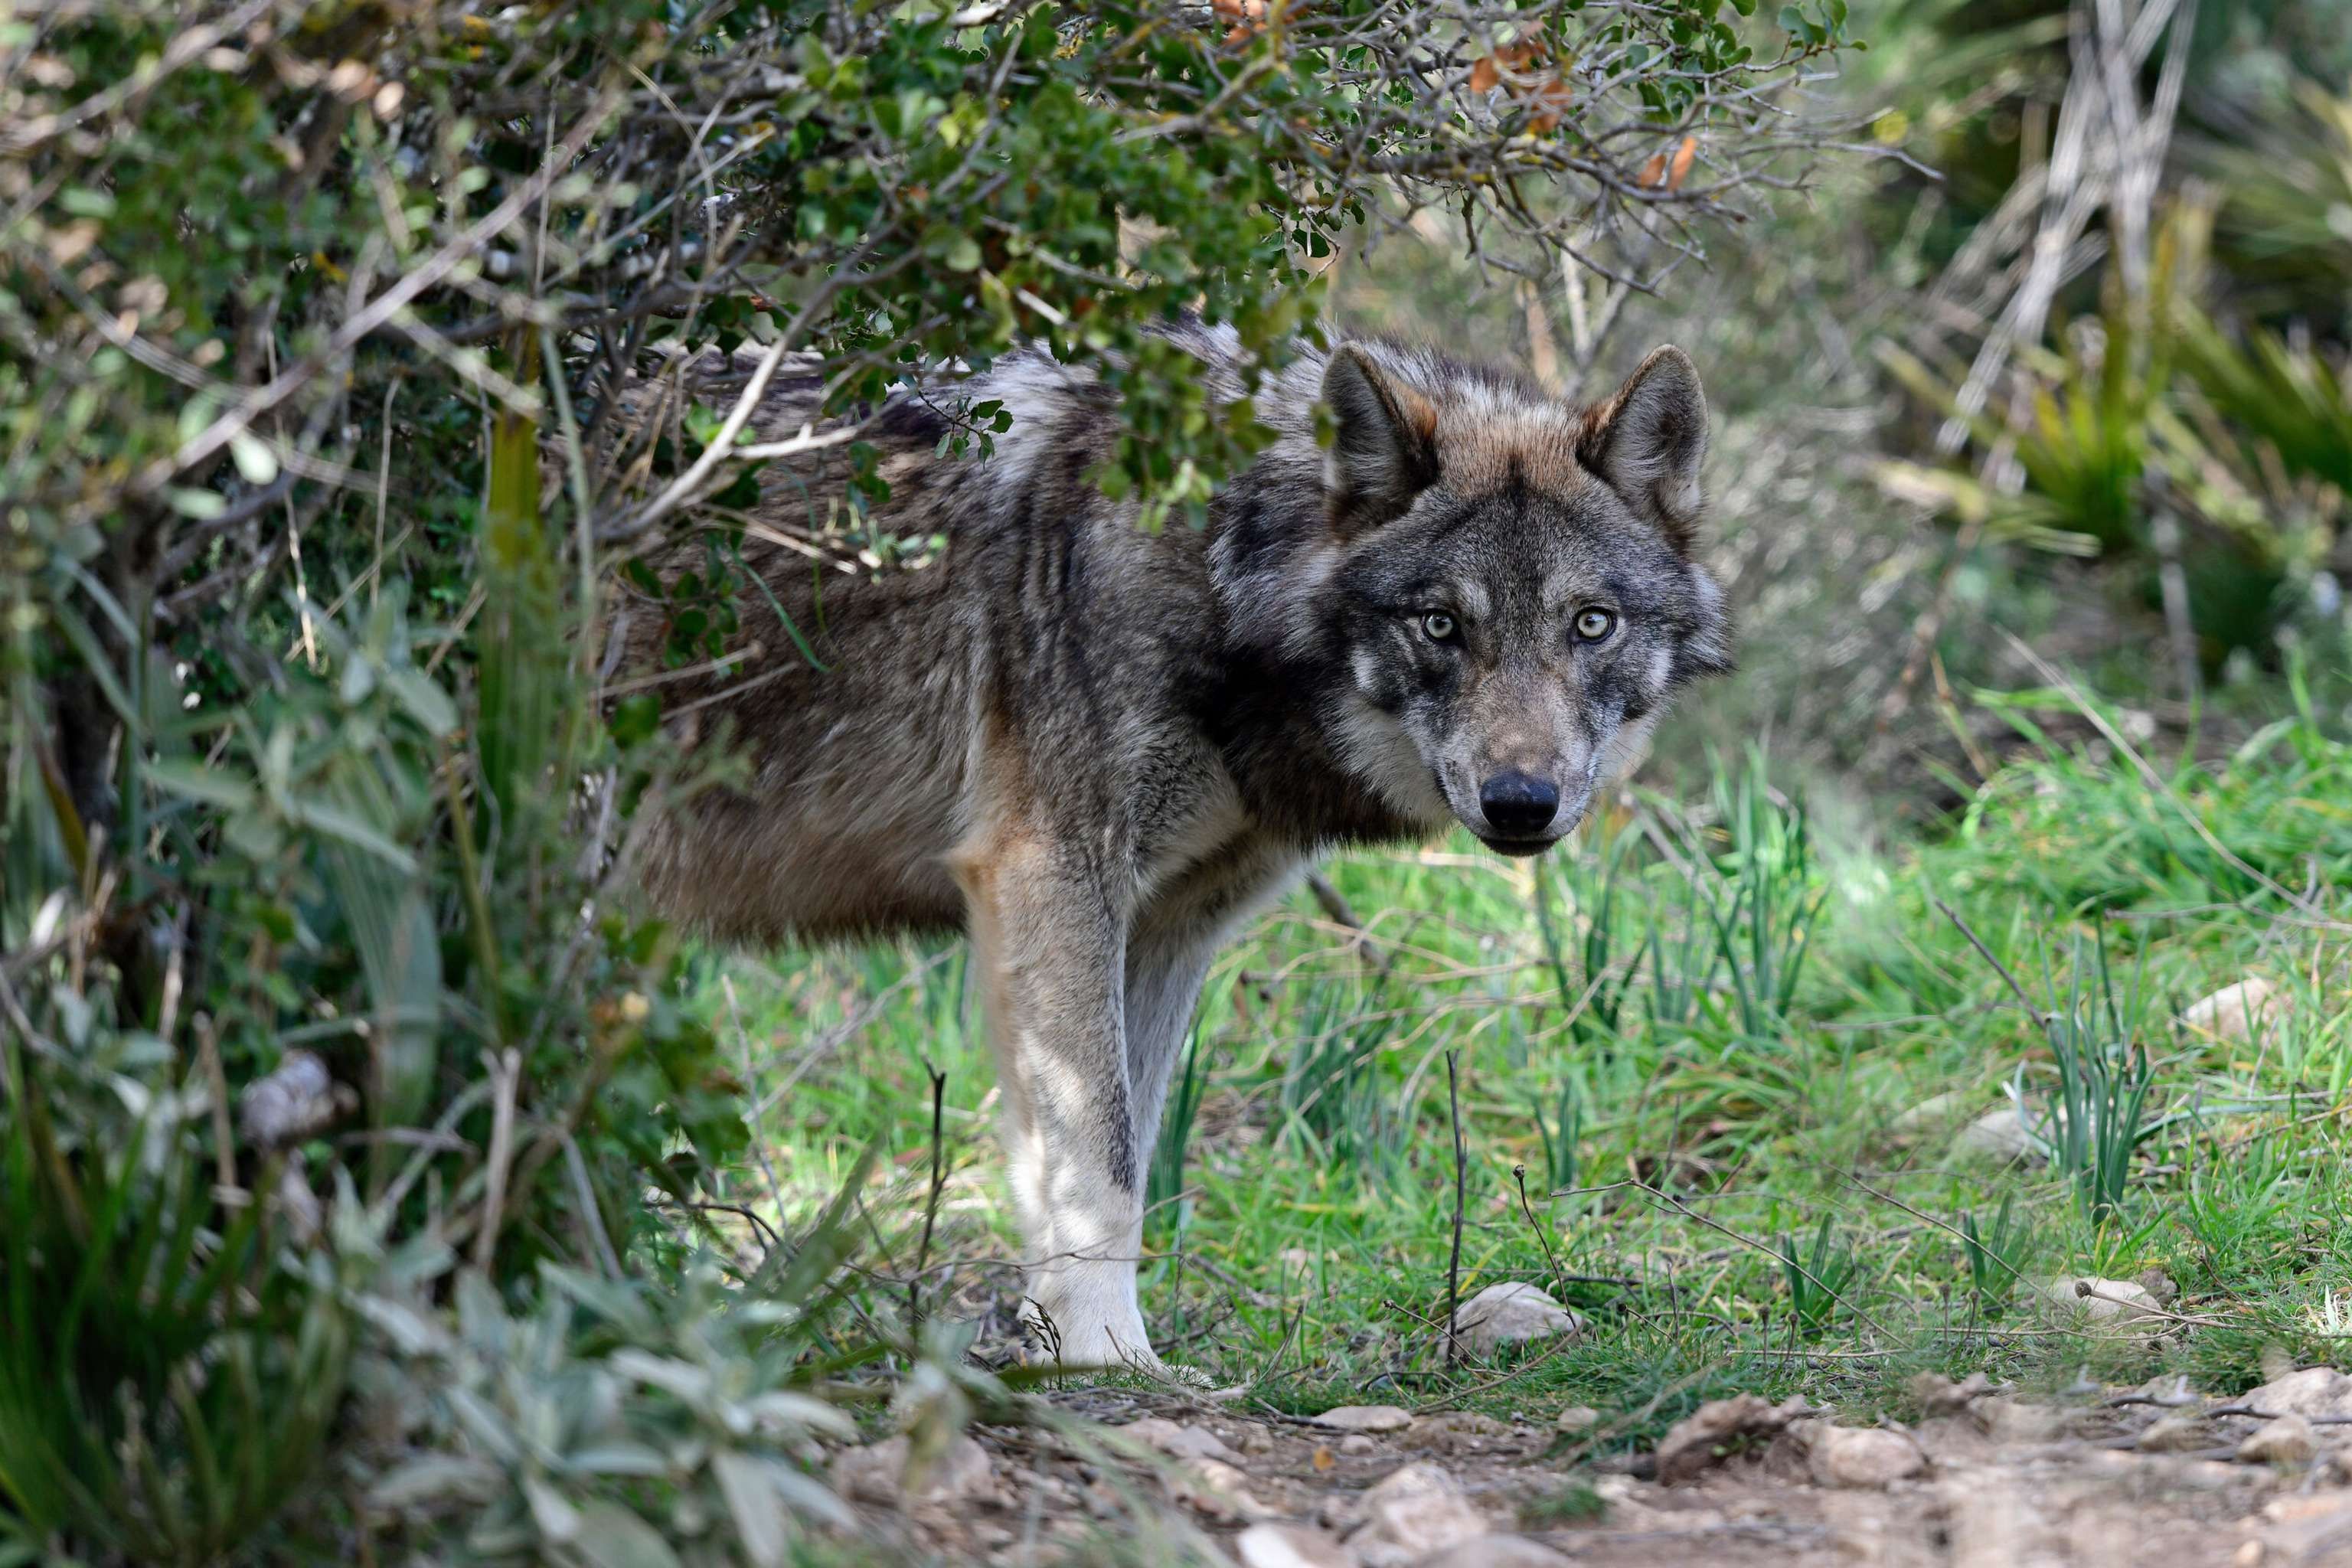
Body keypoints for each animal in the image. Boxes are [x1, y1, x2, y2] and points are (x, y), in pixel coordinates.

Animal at [626, 324, 1732, 1375]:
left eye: (1591, 624)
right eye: (1440, 625)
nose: (1521, 803)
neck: (1215, 563)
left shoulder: (1167, 926)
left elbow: (1121, 1152)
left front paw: (1059, 1347)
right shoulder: (1051, 875)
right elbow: (1101, 1164)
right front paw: (1112, 1359)